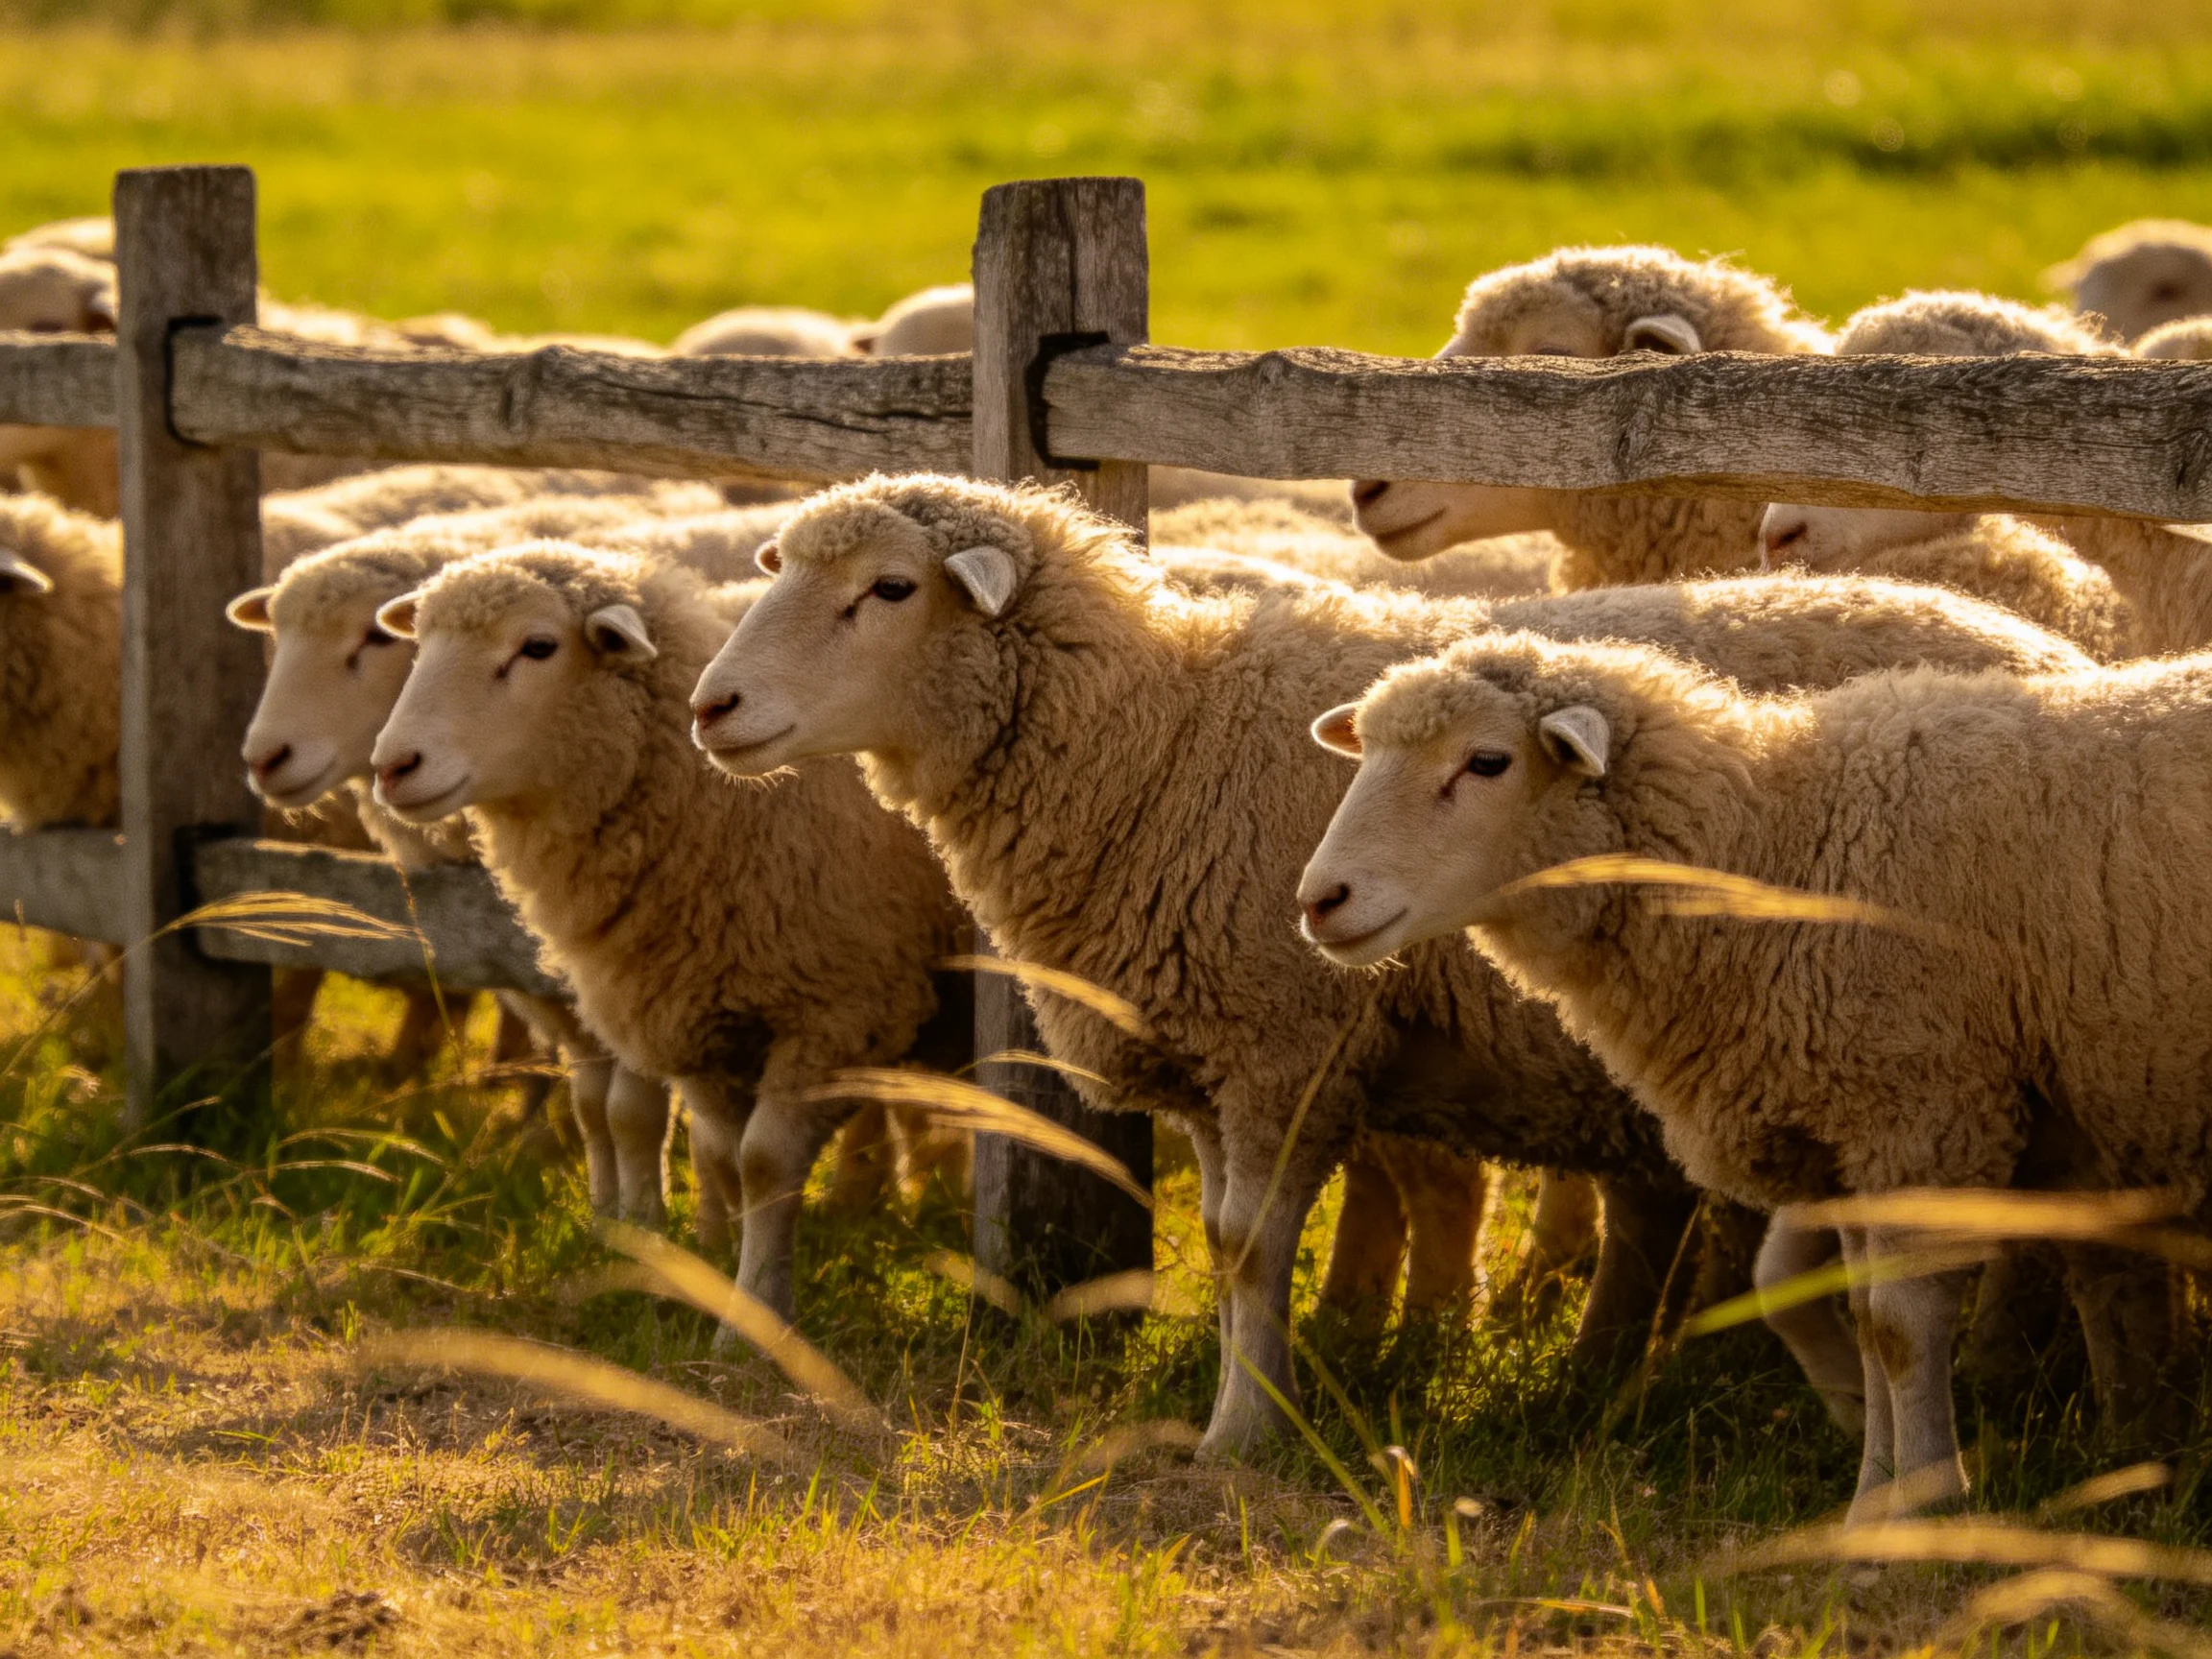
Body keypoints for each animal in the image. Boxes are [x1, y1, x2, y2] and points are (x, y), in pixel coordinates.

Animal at [368, 544, 971, 1320]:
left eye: (538, 647)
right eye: (420, 644)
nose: (392, 766)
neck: (725, 804)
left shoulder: (843, 1011)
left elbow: (762, 1162)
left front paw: (753, 1313)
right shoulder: (699, 1019)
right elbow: (721, 1154)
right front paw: (710, 1265)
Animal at [688, 473, 2093, 1457]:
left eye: (887, 589)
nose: (711, 708)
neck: (1153, 743)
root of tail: (2061, 649)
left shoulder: (1284, 1040)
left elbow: (1249, 1248)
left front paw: (1241, 1432)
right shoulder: (1216, 1056)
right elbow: (1228, 1240)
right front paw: (1264, 1394)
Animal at [1297, 631, 2209, 1519]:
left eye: (1488, 761)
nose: (1319, 900)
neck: (1783, 849)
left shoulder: (1923, 1109)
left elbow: (1898, 1325)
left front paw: (1922, 1507)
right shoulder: (1853, 1127)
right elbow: (1860, 1317)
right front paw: (1875, 1495)